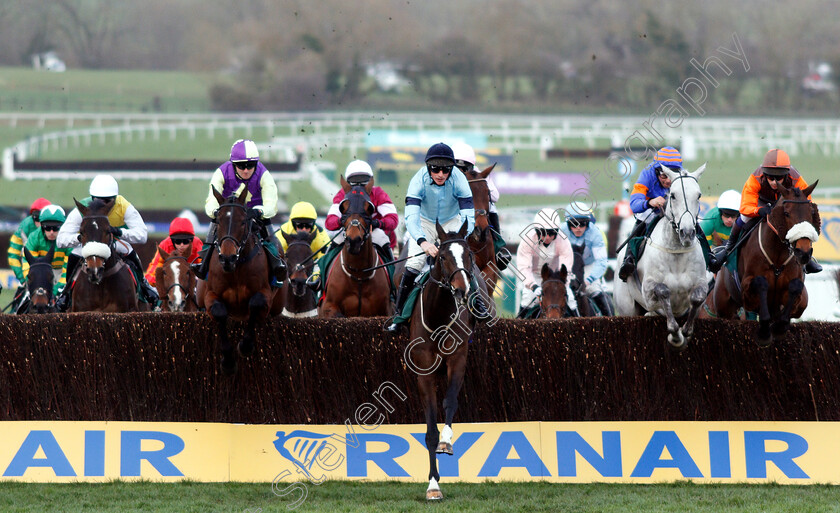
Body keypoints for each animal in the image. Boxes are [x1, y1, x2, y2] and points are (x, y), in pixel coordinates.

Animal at [202, 186, 284, 374]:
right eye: (219, 221)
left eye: (242, 222)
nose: (227, 258)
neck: (236, 268)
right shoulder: (210, 295)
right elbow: (219, 311)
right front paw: (228, 362)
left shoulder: (266, 294)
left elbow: (255, 303)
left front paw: (245, 345)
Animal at [320, 178, 392, 318]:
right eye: (342, 207)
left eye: (369, 207)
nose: (354, 241)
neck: (358, 275)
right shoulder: (328, 306)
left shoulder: (385, 310)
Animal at [404, 221, 476, 500]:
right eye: (442, 257)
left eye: (469, 255)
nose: (462, 290)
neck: (439, 317)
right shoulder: (423, 369)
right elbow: (430, 430)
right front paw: (433, 485)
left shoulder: (457, 358)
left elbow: (450, 401)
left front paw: (447, 441)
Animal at [612, 164, 704, 348]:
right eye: (673, 195)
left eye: (698, 195)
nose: (687, 233)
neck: (676, 250)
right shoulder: (648, 289)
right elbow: (663, 290)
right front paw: (675, 335)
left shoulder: (702, 283)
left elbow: (697, 298)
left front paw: (686, 332)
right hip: (627, 307)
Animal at [704, 179, 820, 344]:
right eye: (786, 213)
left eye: (811, 213)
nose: (803, 252)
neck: (777, 256)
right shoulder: (747, 290)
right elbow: (761, 283)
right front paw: (764, 332)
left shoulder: (798, 297)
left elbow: (795, 287)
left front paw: (780, 327)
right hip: (723, 306)